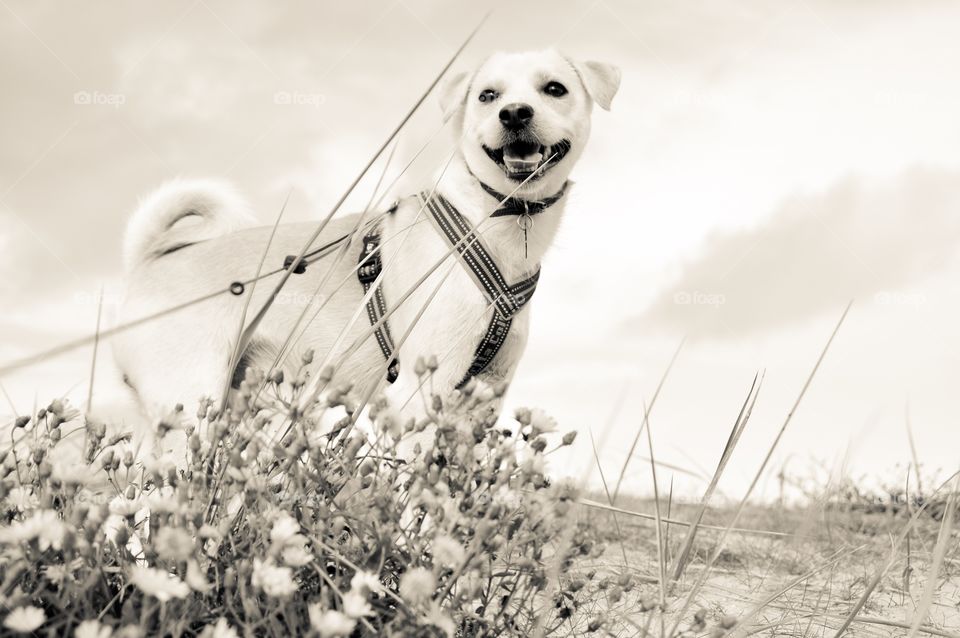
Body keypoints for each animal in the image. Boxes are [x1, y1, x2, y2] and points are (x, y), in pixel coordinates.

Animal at [114, 51, 624, 424]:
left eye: (554, 89)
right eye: (487, 95)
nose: (514, 113)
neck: (494, 217)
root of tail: (146, 262)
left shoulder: (482, 400)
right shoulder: (424, 392)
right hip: (191, 402)